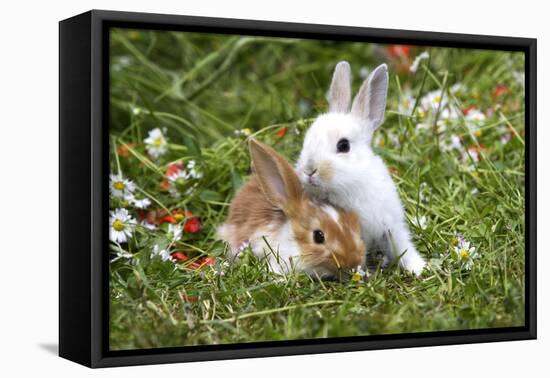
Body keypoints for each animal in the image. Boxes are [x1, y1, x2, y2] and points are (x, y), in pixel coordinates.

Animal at [298, 61, 426, 274]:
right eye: (306, 140)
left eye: (343, 146)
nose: (309, 170)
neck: (350, 187)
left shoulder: (391, 222)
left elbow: (402, 244)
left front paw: (419, 267)